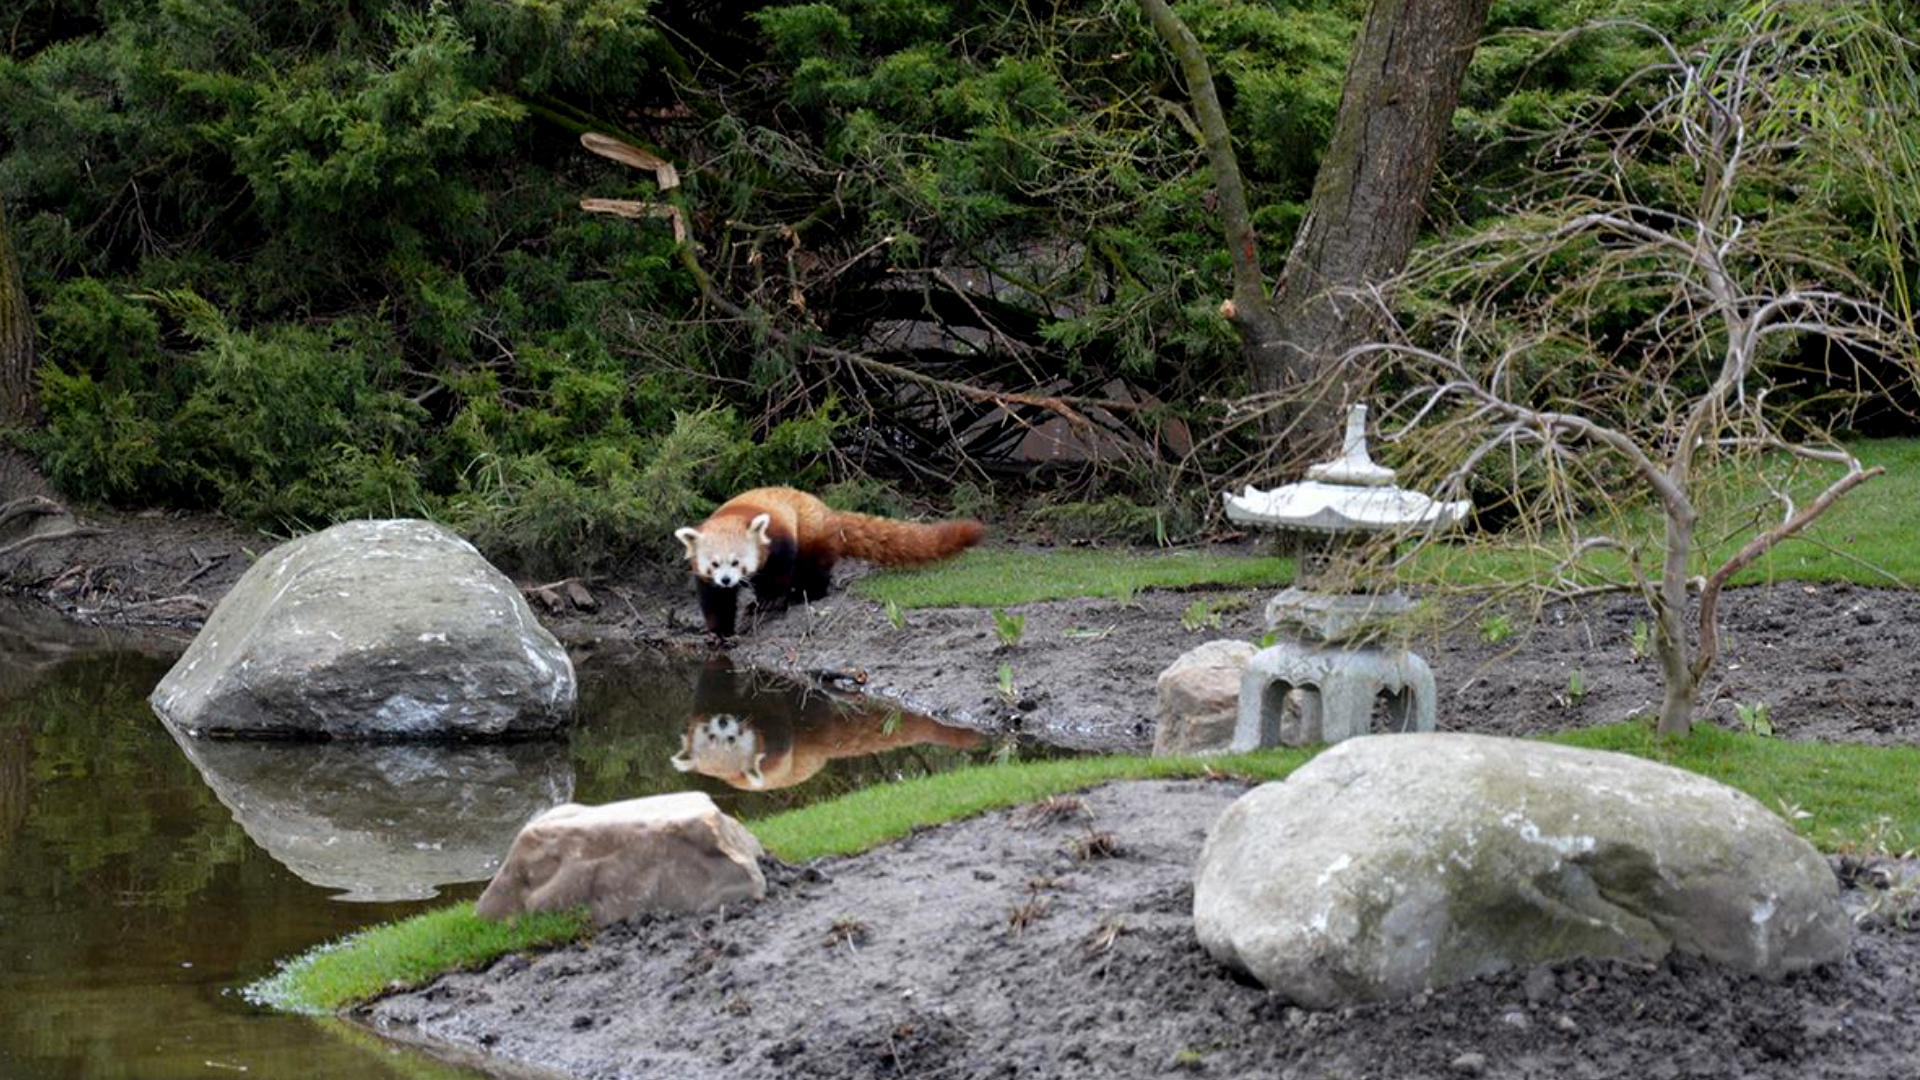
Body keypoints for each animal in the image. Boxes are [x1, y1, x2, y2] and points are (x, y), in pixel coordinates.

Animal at [672, 486, 983, 630]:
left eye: (737, 562)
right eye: (714, 565)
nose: (727, 579)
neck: (735, 514)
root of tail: (828, 512)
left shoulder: (780, 540)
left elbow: (779, 574)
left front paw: (772, 601)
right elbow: (715, 602)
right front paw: (720, 633)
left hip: (812, 535)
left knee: (814, 569)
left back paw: (806, 594)